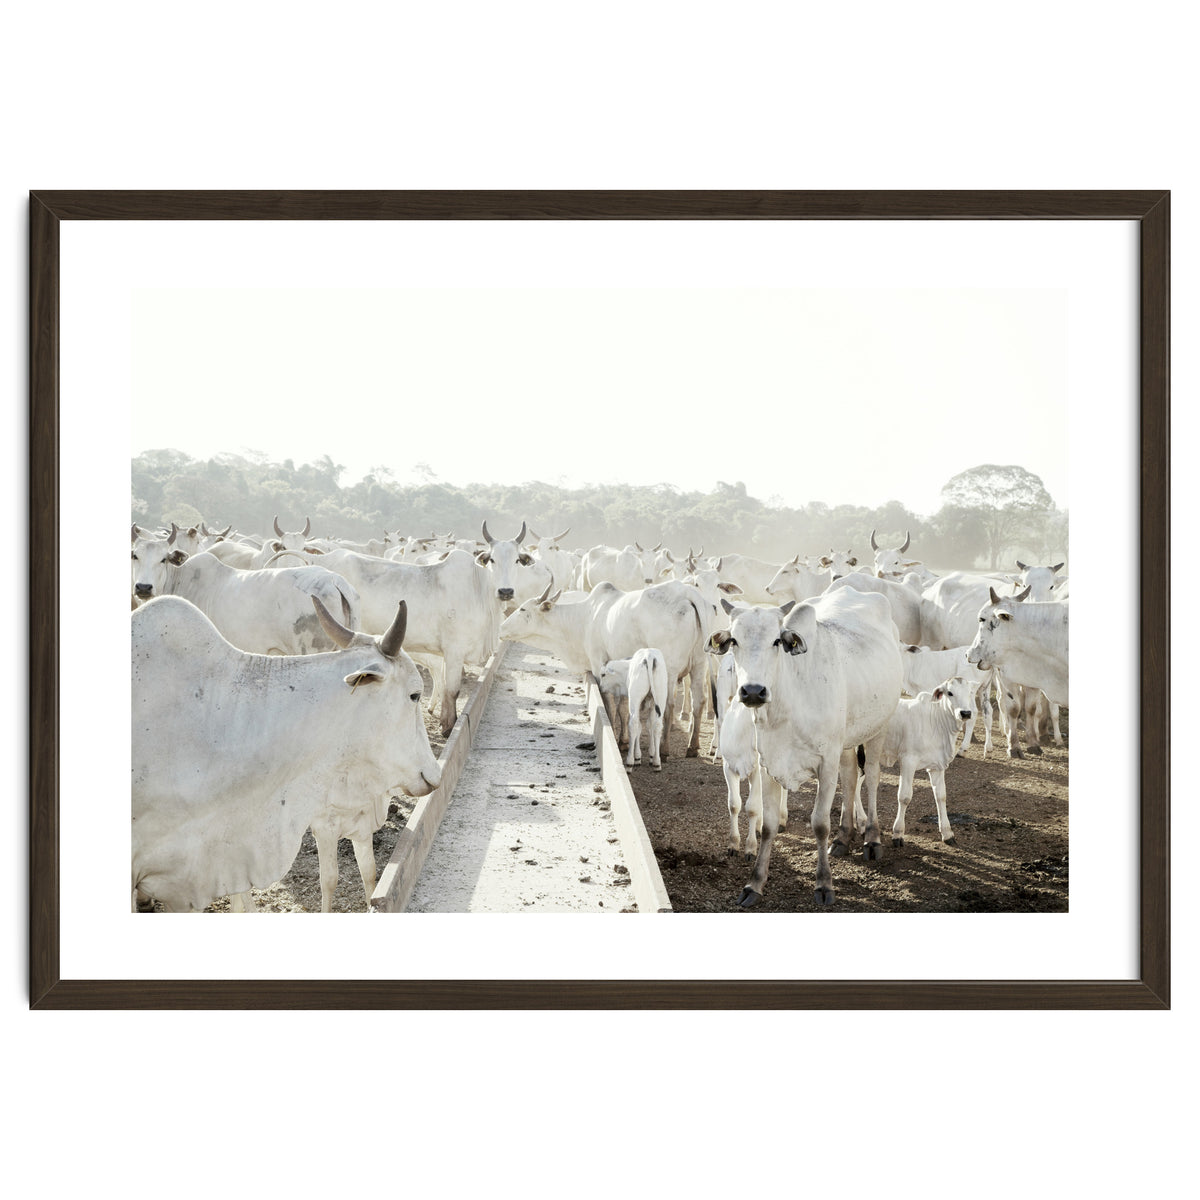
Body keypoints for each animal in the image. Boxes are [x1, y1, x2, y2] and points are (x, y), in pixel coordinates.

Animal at [499, 580, 709, 757]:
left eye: (523, 609)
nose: (501, 628)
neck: (584, 618)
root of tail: (686, 592)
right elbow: (624, 707)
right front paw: (624, 740)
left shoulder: (599, 664)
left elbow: (609, 704)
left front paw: (615, 737)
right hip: (699, 664)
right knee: (699, 701)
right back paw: (693, 746)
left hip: (669, 670)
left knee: (669, 705)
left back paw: (664, 749)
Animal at [709, 587, 902, 906]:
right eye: (734, 640)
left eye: (777, 640)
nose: (752, 691)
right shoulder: (768, 763)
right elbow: (767, 825)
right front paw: (754, 884)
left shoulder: (826, 762)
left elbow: (820, 823)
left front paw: (824, 884)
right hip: (845, 742)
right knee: (851, 777)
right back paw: (843, 836)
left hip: (879, 726)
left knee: (872, 777)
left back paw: (872, 839)